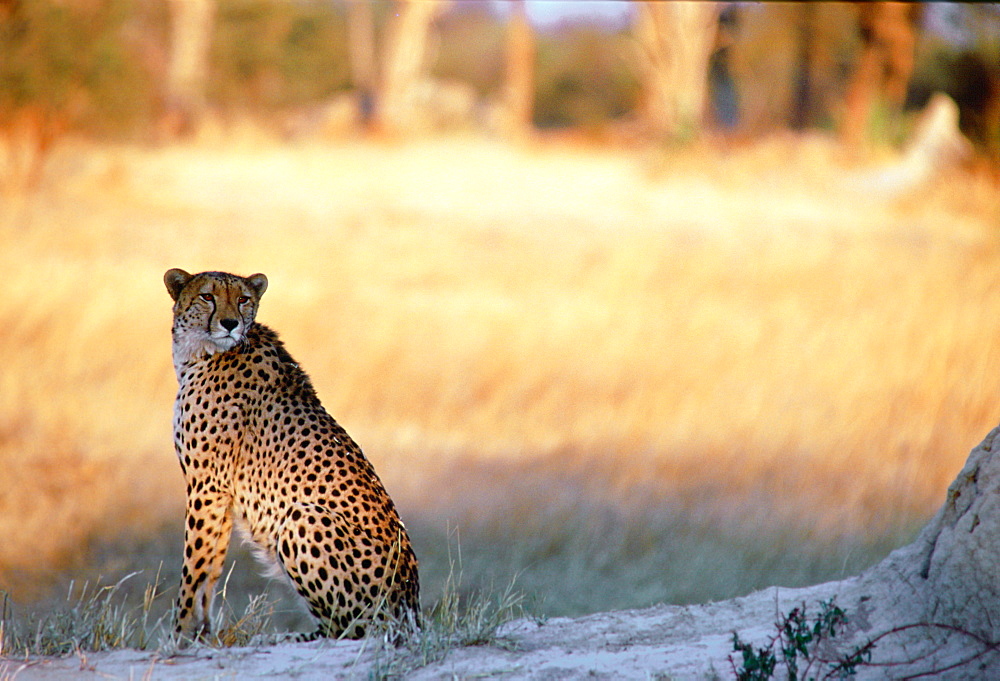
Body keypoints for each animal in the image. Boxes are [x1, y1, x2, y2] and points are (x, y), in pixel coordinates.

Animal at [163, 268, 418, 640]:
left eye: (243, 299)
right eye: (207, 296)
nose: (230, 323)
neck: (203, 352)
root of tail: (411, 611)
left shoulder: (207, 486)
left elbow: (193, 569)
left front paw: (179, 634)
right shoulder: (220, 494)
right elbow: (210, 569)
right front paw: (203, 633)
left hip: (302, 516)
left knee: (348, 629)